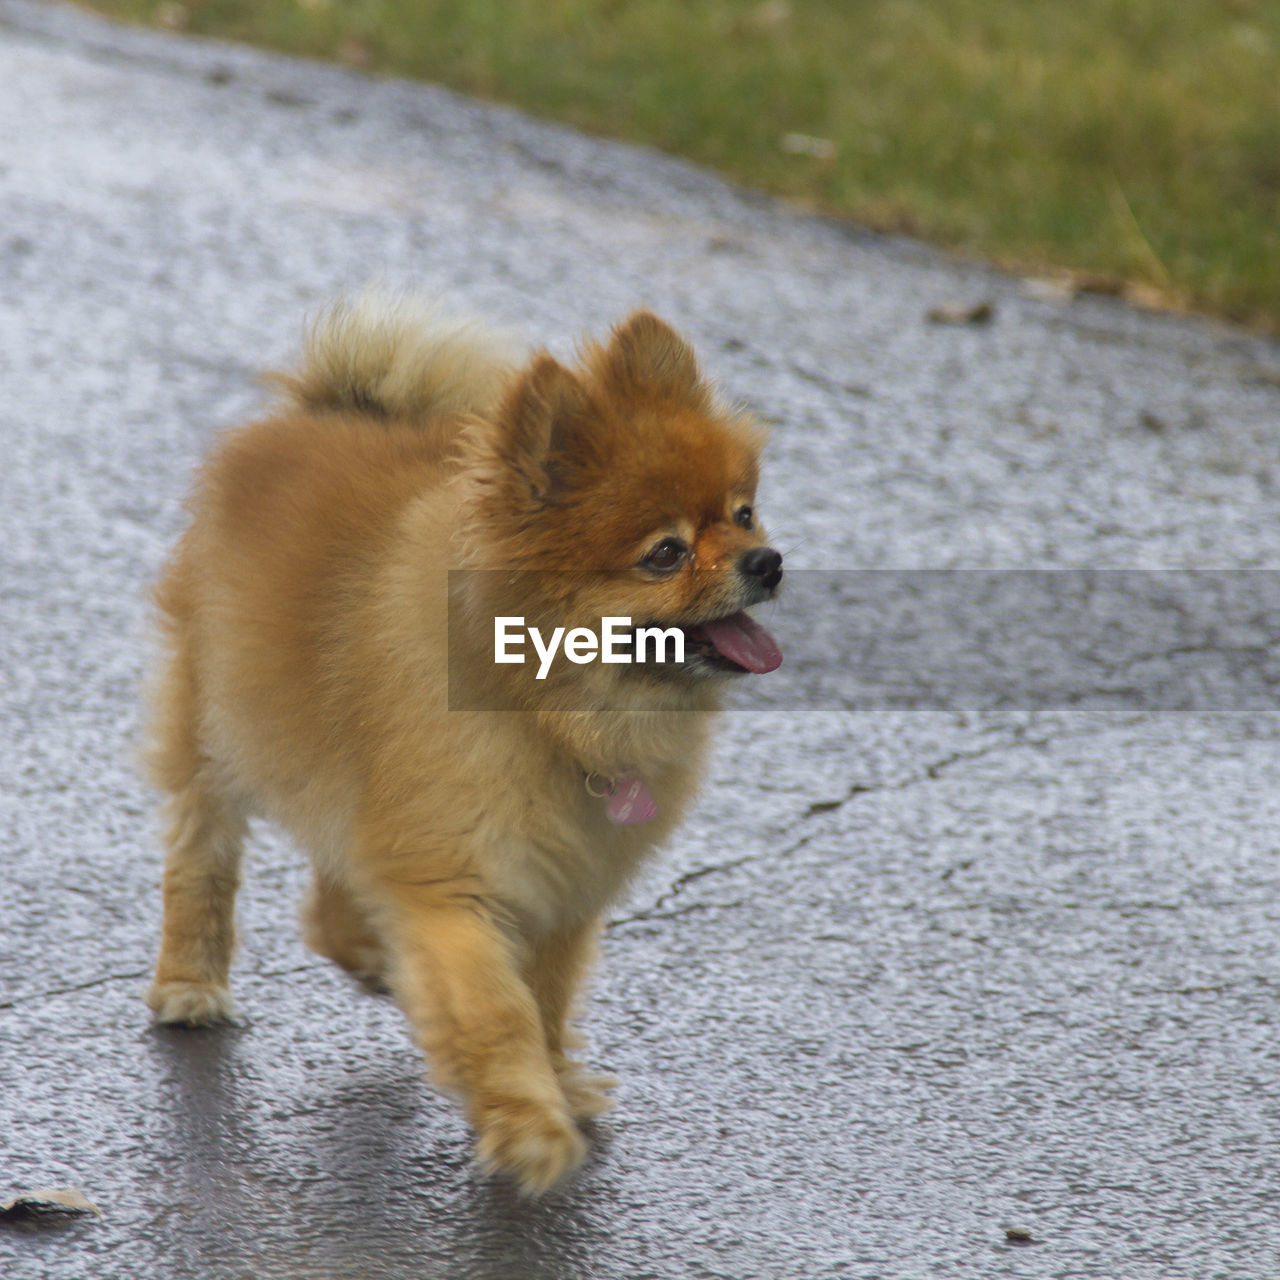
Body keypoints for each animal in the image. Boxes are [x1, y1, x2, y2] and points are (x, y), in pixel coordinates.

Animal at [140, 294, 778, 1192]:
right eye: (665, 553)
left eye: (743, 512)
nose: (768, 561)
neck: (552, 713)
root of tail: (321, 407)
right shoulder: (453, 878)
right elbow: (496, 1007)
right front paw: (529, 1125)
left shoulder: (563, 886)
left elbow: (546, 997)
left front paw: (557, 1082)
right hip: (218, 727)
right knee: (202, 857)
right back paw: (191, 984)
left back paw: (363, 948)